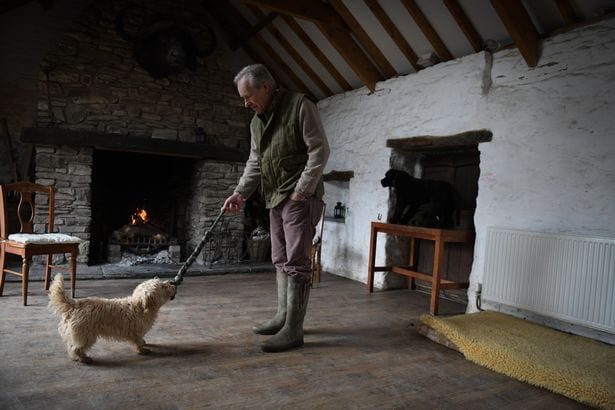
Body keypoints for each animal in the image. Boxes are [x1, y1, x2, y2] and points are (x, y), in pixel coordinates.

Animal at [48, 272, 176, 362]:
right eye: (162, 286)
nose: (172, 282)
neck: (140, 306)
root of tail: (75, 304)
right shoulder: (135, 332)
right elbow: (137, 342)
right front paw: (142, 350)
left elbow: (141, 340)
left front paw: (144, 343)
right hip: (85, 335)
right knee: (76, 348)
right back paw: (83, 358)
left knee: (71, 346)